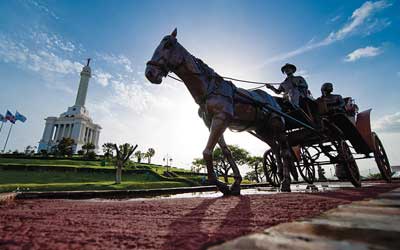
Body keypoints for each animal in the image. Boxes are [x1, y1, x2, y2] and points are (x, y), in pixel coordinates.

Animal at [145, 28, 292, 194]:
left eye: (168, 45)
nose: (149, 73)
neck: (210, 88)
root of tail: (273, 99)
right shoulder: (212, 122)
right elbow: (226, 151)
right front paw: (234, 183)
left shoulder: (221, 118)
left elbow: (207, 151)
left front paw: (220, 183)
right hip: (262, 130)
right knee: (275, 148)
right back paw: (279, 177)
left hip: (277, 126)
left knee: (285, 152)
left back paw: (285, 182)